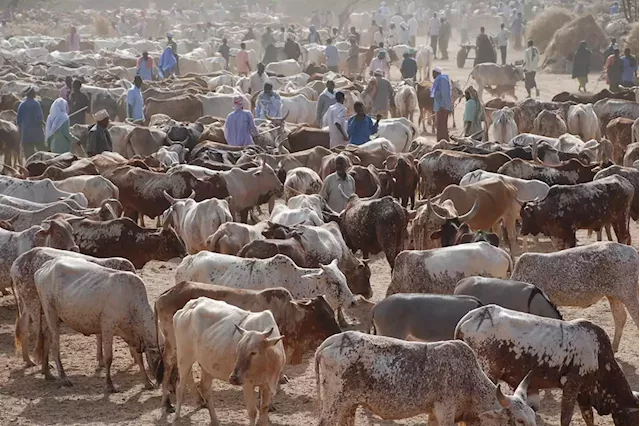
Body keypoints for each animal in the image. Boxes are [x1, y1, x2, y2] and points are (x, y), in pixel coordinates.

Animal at [171, 298, 284, 426]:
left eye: (253, 352)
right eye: (238, 349)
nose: (233, 378)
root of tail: (190, 305)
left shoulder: (267, 385)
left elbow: (264, 410)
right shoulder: (247, 384)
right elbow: (252, 412)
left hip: (206, 366)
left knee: (206, 390)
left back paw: (215, 420)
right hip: (184, 358)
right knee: (180, 388)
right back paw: (176, 419)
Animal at [316, 332, 536, 426]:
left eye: (534, 418)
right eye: (520, 421)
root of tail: (331, 341)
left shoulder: (433, 413)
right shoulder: (446, 412)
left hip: (348, 405)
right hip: (334, 403)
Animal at [456, 306, 640, 426]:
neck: (598, 354)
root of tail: (468, 318)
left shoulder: (583, 391)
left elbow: (588, 416)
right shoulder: (572, 385)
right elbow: (565, 417)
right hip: (486, 373)